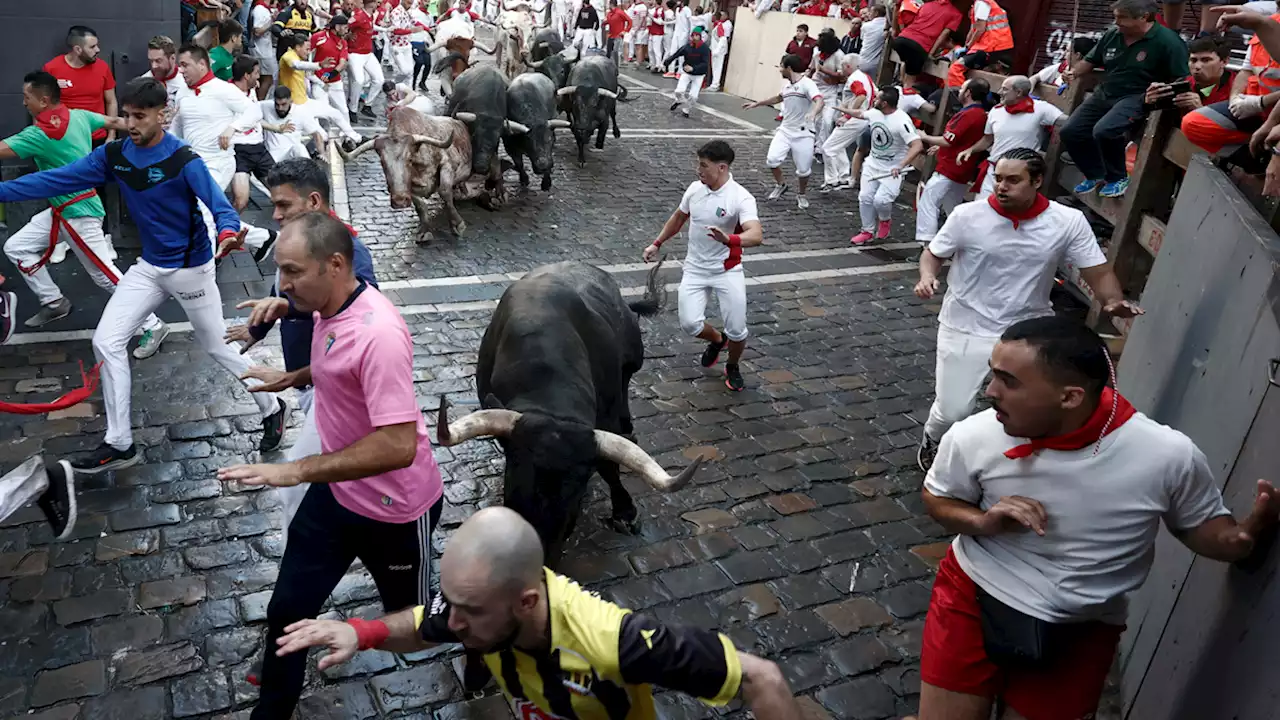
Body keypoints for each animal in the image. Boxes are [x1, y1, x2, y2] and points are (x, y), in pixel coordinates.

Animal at [437, 257, 701, 561]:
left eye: (579, 486)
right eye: (515, 471)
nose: (541, 553)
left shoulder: (605, 419)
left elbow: (609, 466)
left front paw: (625, 512)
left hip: (635, 358)